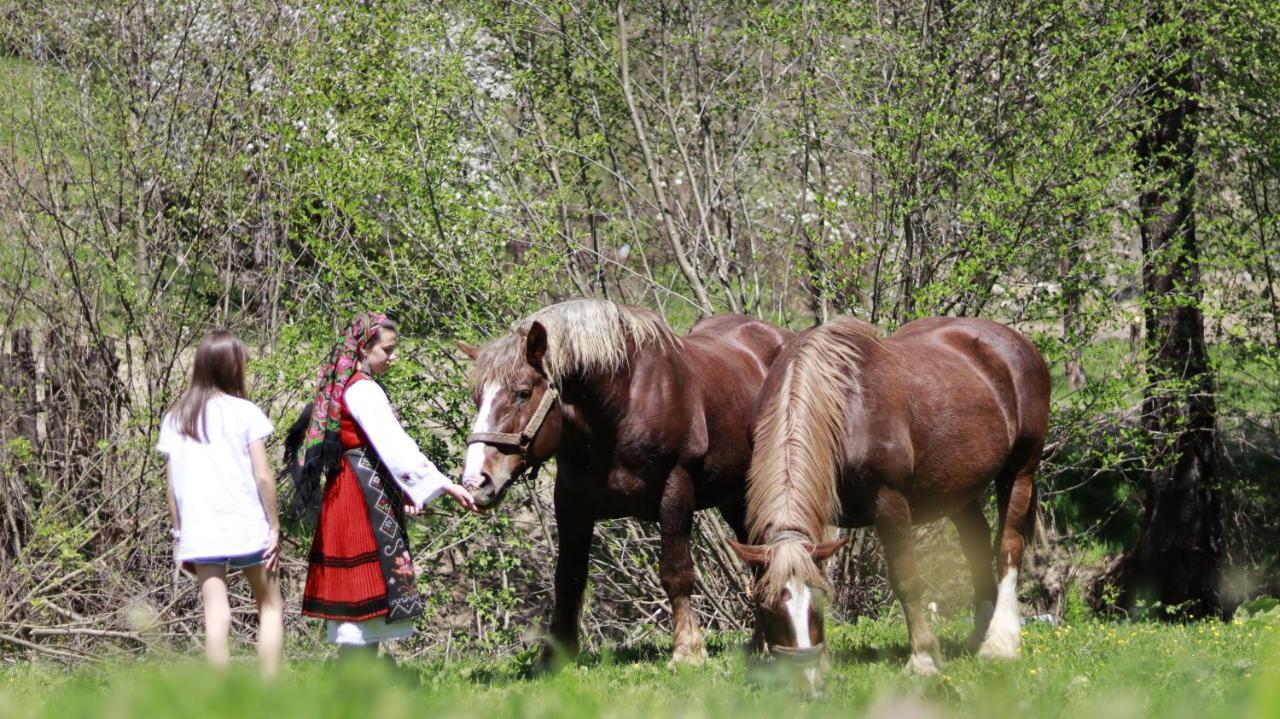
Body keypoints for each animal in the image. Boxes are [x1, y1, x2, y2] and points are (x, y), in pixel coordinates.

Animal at [460, 296, 788, 660]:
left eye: (521, 393)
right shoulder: (571, 503)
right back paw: (762, 644)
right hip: (733, 497)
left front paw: (687, 650)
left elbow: (676, 572)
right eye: (477, 399)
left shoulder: (676, 489)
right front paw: (556, 658)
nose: (476, 481)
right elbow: (568, 578)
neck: (623, 405)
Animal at [732, 316, 1049, 685]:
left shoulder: (890, 505)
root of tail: (1016, 341)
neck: (841, 409)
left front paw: (923, 658)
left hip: (1019, 472)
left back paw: (1000, 642)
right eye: (766, 606)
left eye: (817, 601)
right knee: (976, 543)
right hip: (958, 491)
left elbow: (906, 578)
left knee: (1008, 545)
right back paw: (979, 635)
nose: (804, 677)